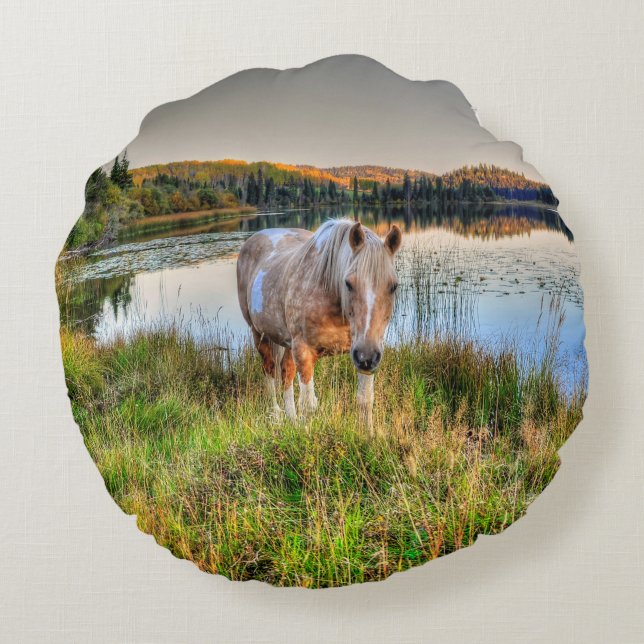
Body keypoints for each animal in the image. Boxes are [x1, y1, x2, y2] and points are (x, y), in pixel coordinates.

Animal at [236, 218, 402, 435]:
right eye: (348, 283)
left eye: (393, 286)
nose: (367, 355)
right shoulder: (304, 351)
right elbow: (309, 405)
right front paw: (306, 437)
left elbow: (365, 400)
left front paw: (368, 436)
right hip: (260, 335)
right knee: (270, 371)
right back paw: (277, 416)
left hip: (289, 344)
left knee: (286, 373)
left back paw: (292, 420)